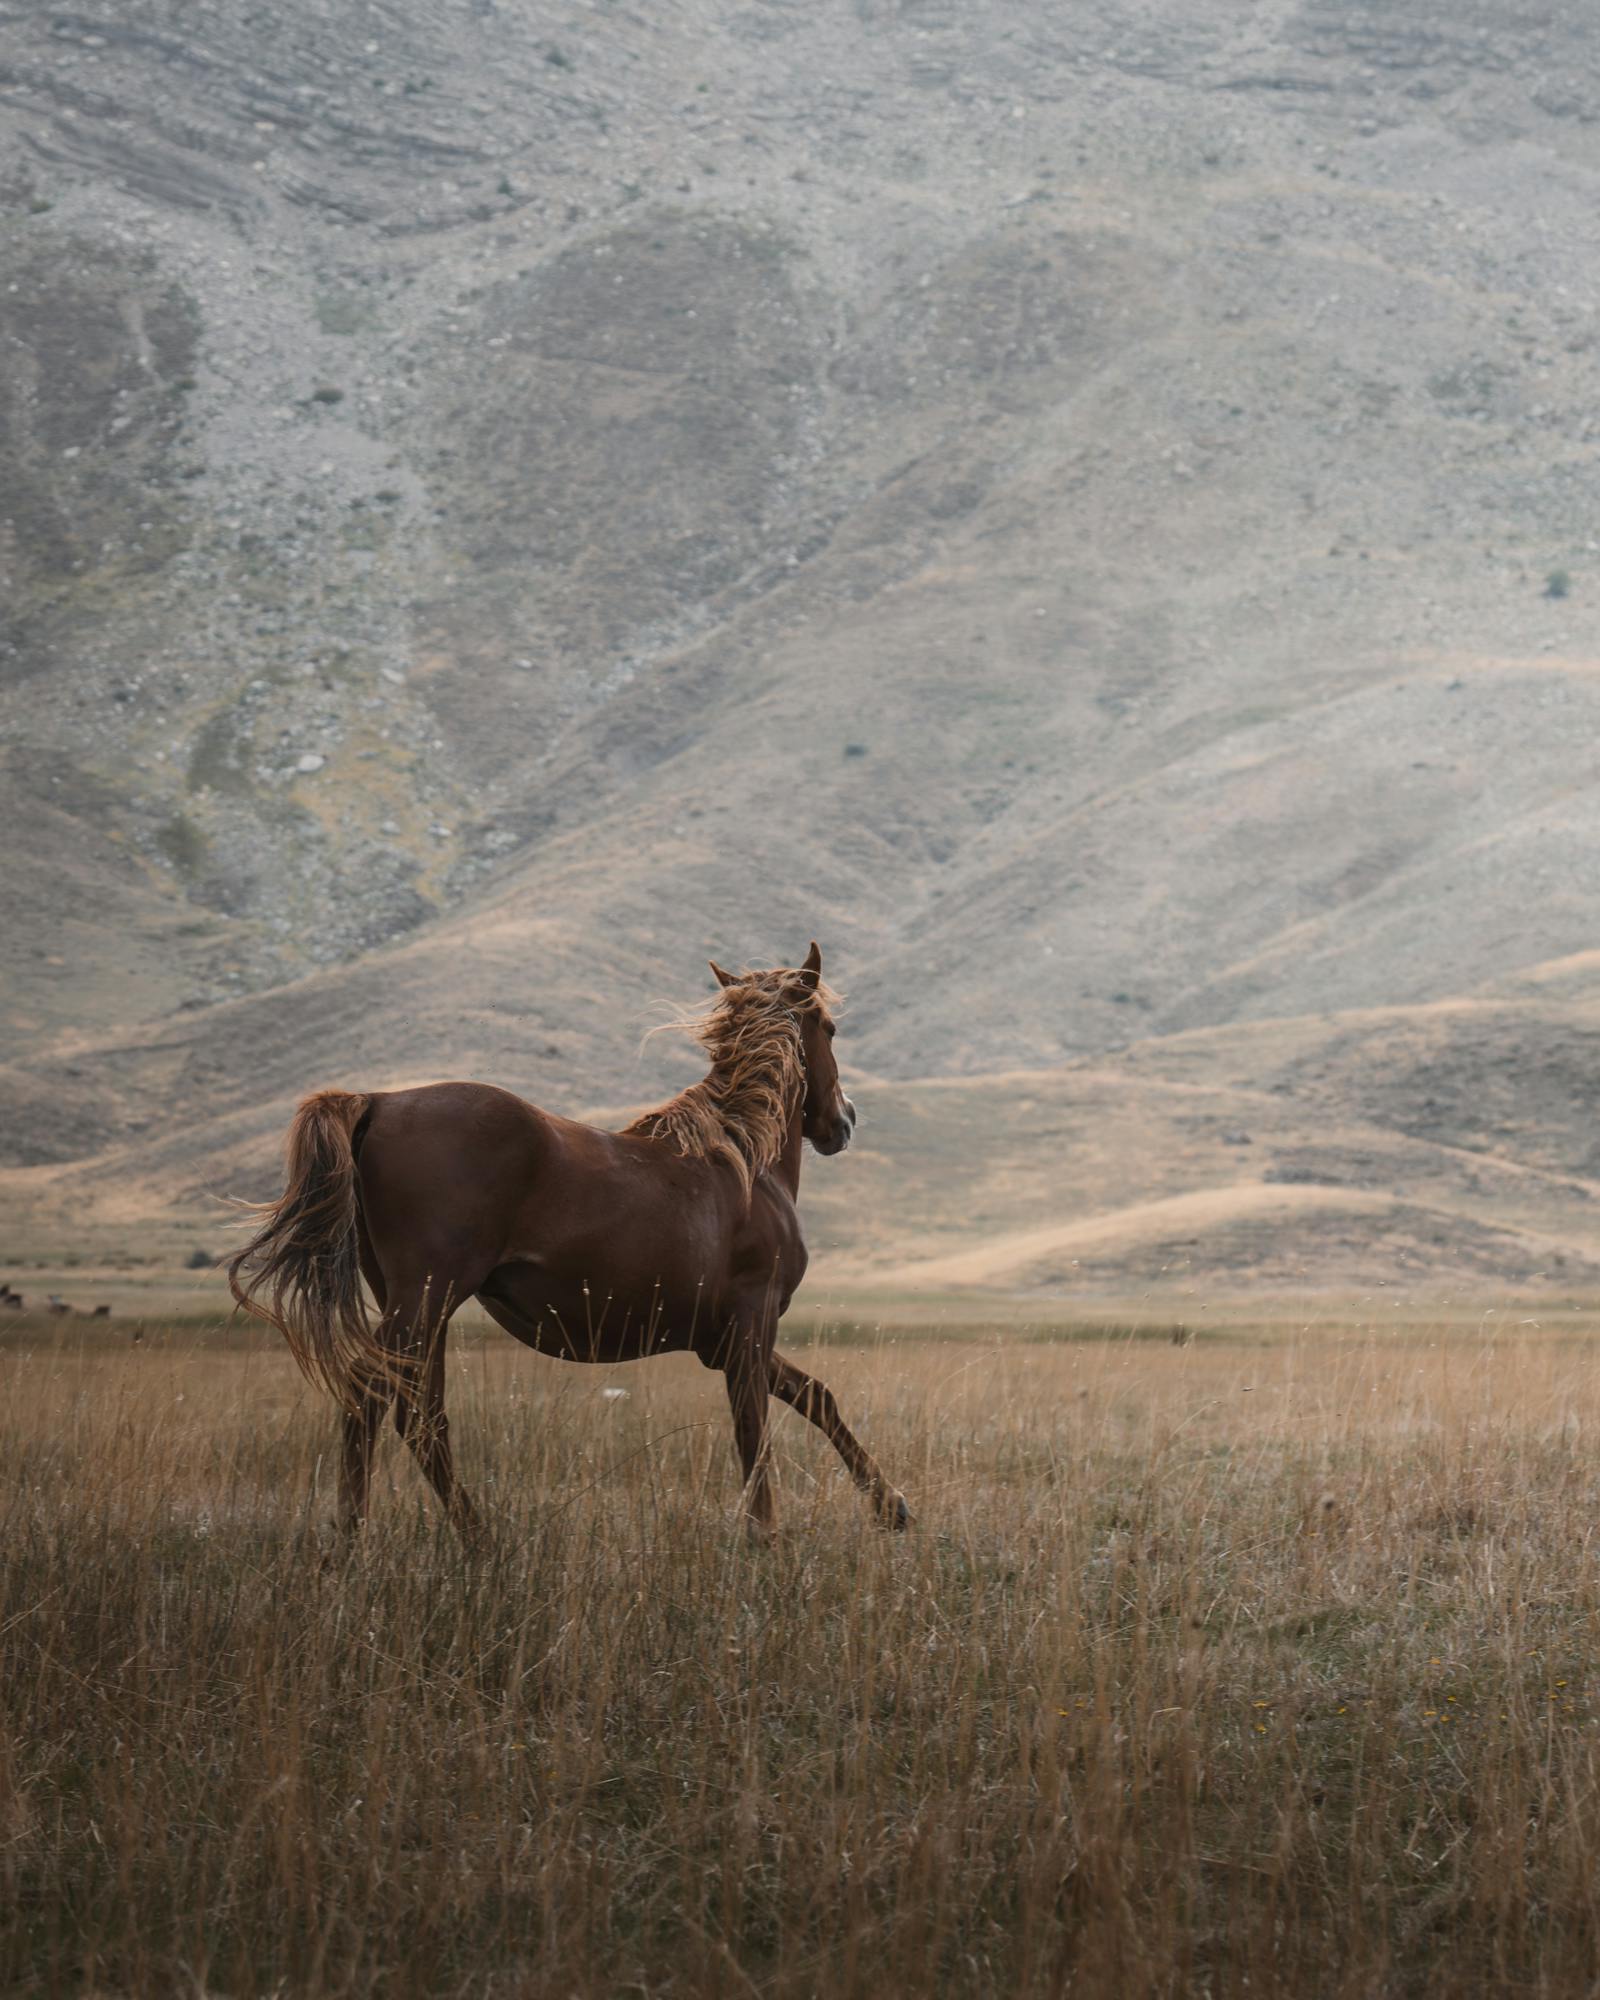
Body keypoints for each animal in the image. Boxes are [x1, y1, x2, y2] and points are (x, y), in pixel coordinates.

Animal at [227, 944, 908, 1536]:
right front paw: (763, 1533)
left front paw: (891, 1506)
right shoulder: (750, 1321)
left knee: (420, 1413)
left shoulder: (718, 1341)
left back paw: (473, 1536)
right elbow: (754, 1432)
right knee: (374, 1397)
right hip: (426, 1296)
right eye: (830, 1029)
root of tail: (378, 1101)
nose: (844, 1120)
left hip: (422, 1305)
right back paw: (356, 1537)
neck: (742, 1160)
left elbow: (815, 1398)